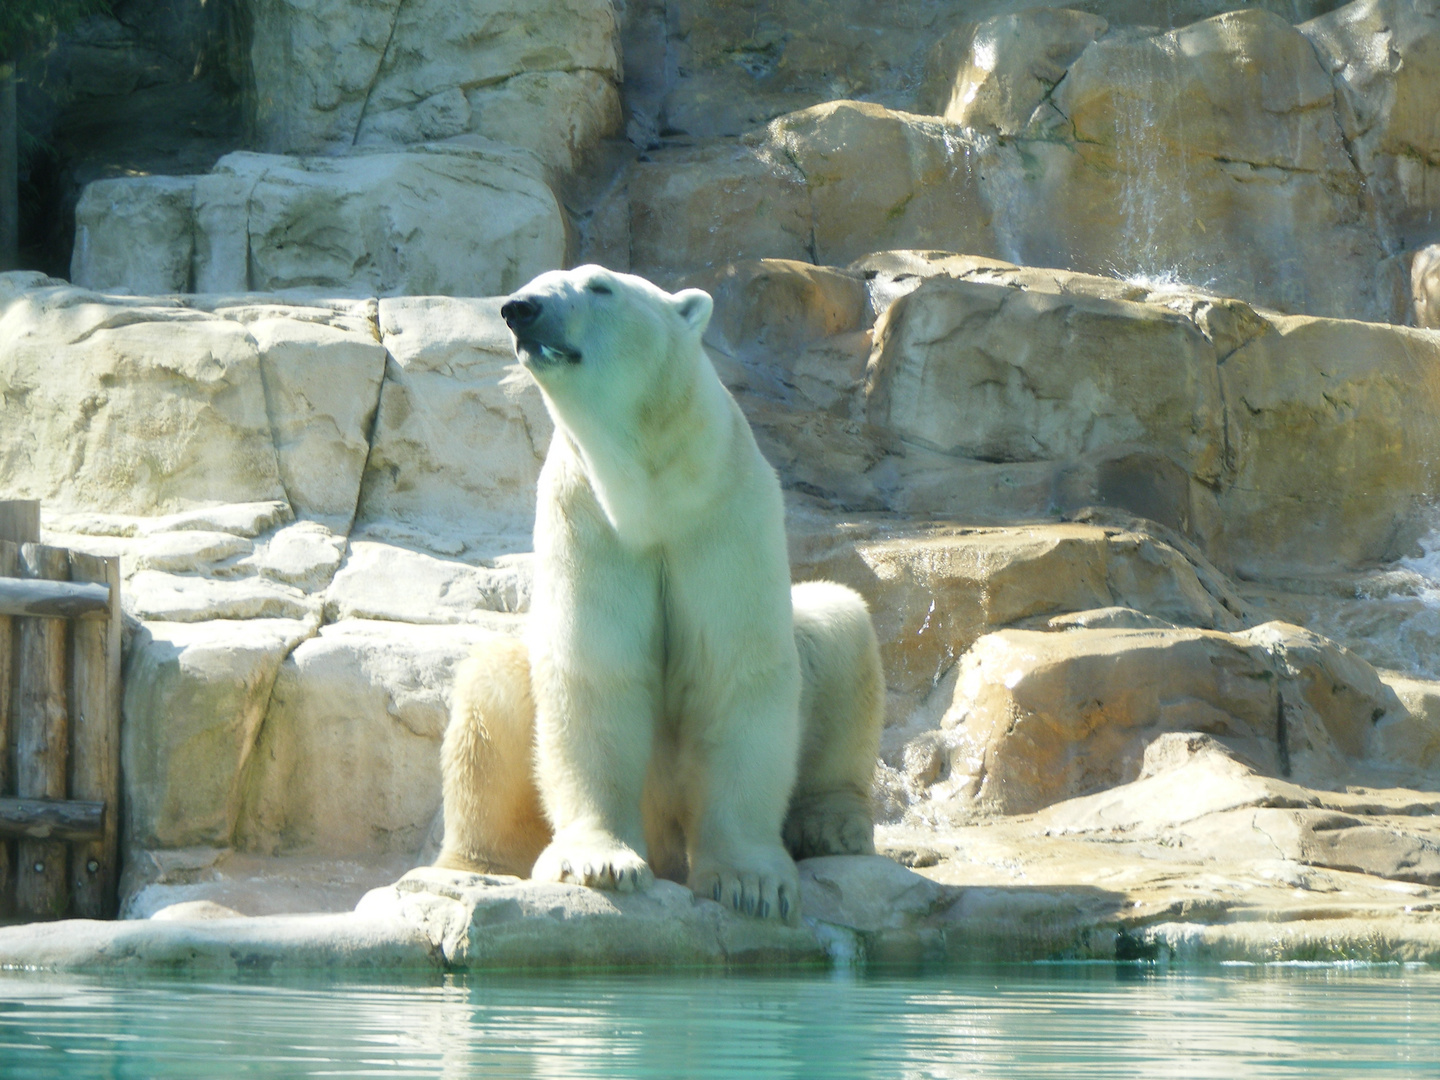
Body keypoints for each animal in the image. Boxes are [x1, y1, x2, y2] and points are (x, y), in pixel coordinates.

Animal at [434, 266, 887, 927]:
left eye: (599, 286)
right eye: (537, 280)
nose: (520, 308)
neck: (653, 489)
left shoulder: (724, 514)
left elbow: (736, 671)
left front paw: (750, 882)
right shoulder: (588, 518)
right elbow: (597, 673)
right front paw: (599, 863)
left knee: (840, 621)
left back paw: (833, 826)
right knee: (489, 694)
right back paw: (474, 869)